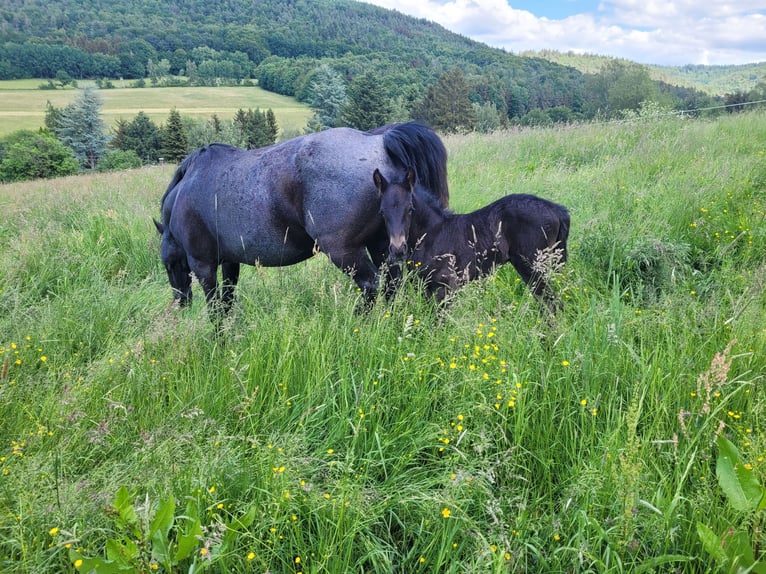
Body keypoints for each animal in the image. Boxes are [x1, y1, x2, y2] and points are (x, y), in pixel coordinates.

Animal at [154, 120, 450, 316]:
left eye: (169, 264)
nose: (181, 303)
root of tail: (377, 140)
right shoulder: (229, 262)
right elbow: (227, 301)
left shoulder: (203, 265)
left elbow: (216, 307)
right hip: (381, 245)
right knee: (391, 284)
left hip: (344, 252)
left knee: (371, 285)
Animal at [376, 168, 572, 310]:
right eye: (382, 212)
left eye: (410, 209)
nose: (398, 249)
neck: (431, 233)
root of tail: (557, 209)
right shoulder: (427, 287)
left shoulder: (445, 287)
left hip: (533, 267)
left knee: (552, 305)